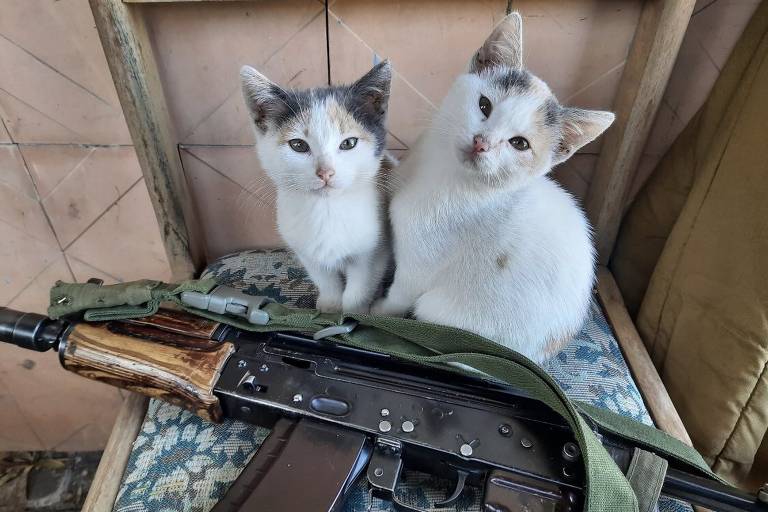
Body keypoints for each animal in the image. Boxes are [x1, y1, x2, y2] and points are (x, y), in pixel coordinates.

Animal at [240, 62, 392, 314]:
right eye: (298, 145)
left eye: (349, 143)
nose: (325, 172)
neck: (326, 209)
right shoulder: (305, 251)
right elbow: (325, 280)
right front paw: (329, 307)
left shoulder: (373, 253)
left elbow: (359, 290)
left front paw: (354, 313)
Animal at [370, 14, 612, 362]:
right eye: (485, 105)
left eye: (519, 143)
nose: (481, 143)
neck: (439, 172)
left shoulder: (421, 266)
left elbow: (400, 294)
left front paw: (375, 310)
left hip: (443, 311)